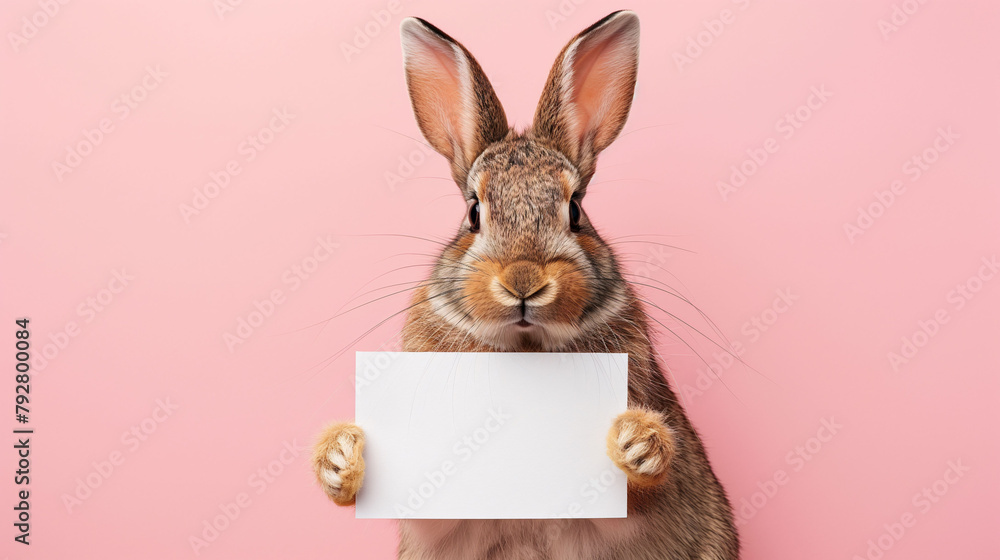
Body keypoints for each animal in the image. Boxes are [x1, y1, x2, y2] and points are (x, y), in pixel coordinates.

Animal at [313, 10, 739, 560]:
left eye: (576, 210)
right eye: (473, 213)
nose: (524, 281)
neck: (524, 348)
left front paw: (638, 444)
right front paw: (339, 458)